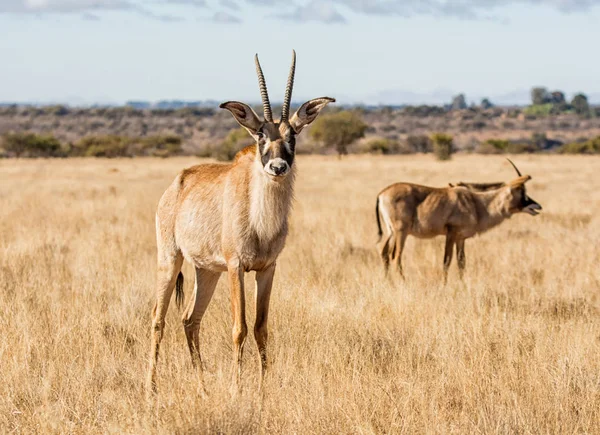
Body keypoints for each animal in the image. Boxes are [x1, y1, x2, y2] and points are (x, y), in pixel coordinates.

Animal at [145, 51, 332, 396]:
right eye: (260, 135)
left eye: (293, 135)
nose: (278, 167)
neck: (261, 221)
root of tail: (178, 183)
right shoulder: (236, 267)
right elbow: (240, 327)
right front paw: (237, 387)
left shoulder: (267, 268)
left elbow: (261, 327)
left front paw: (262, 387)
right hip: (170, 259)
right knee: (158, 318)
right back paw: (151, 388)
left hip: (206, 270)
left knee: (190, 319)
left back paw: (203, 387)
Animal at [376, 160, 540, 282]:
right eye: (522, 191)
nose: (537, 206)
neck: (476, 203)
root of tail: (382, 193)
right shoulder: (451, 233)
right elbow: (446, 261)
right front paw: (444, 285)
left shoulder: (461, 238)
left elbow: (461, 262)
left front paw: (462, 284)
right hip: (401, 232)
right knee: (395, 256)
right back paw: (403, 283)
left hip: (391, 232)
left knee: (385, 254)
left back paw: (388, 282)